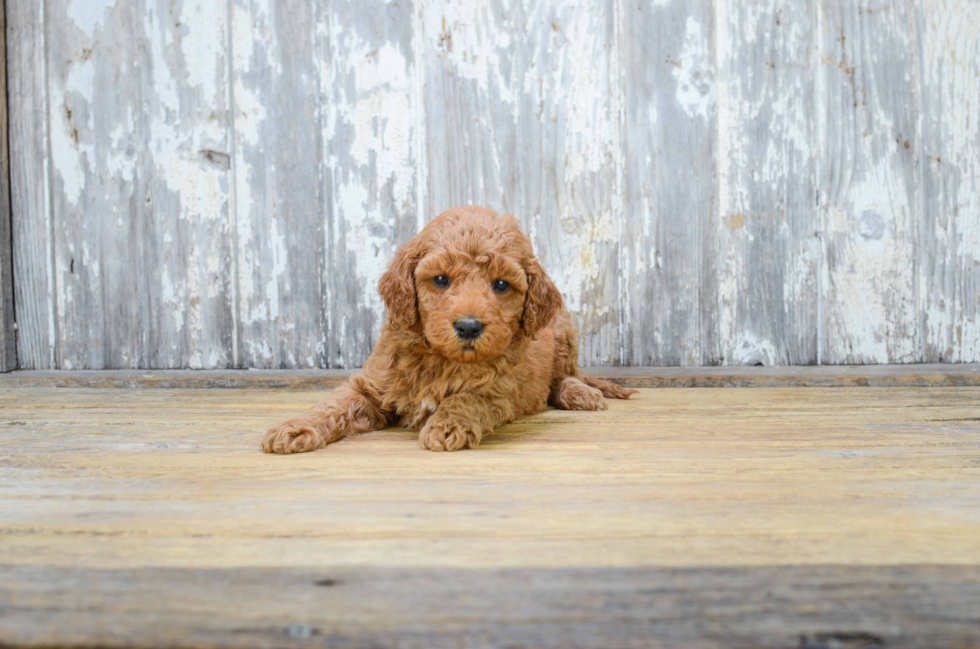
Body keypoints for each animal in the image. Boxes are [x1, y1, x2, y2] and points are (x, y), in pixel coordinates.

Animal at [264, 205, 640, 454]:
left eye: (501, 285)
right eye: (441, 280)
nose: (469, 326)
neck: (442, 358)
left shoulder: (499, 390)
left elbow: (466, 398)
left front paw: (446, 425)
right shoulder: (370, 385)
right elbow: (335, 404)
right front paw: (295, 428)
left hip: (562, 331)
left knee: (564, 377)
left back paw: (580, 394)